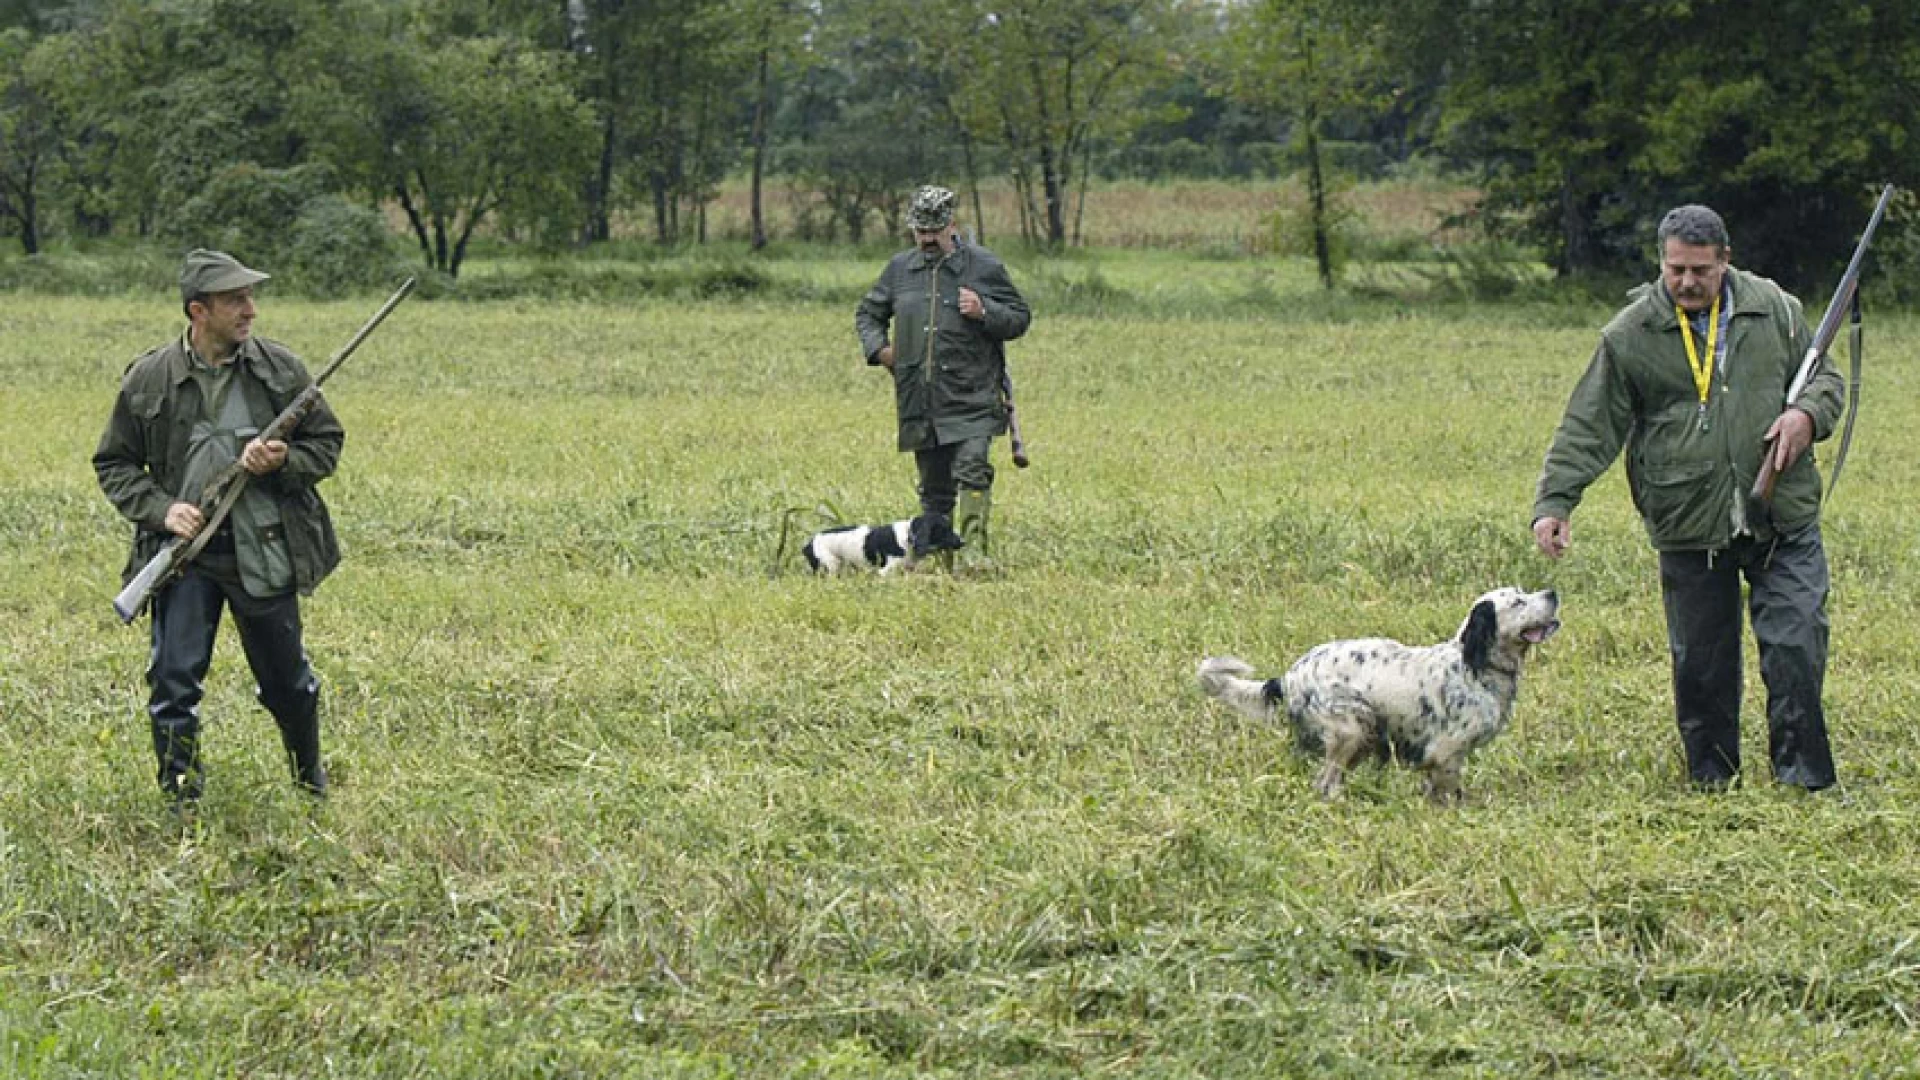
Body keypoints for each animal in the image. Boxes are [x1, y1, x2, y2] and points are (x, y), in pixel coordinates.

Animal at [802, 511, 967, 572]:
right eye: (945, 530)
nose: (963, 542)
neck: (908, 538)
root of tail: (809, 544)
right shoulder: (885, 572)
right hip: (829, 565)